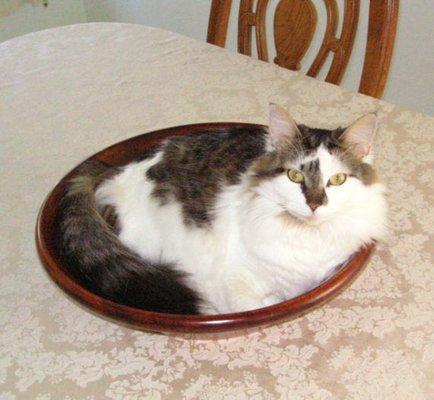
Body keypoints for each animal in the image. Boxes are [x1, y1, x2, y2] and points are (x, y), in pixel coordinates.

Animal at [56, 104, 386, 316]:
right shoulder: (230, 282)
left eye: (338, 179)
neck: (304, 238)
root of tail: (110, 170)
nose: (315, 204)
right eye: (295, 176)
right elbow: (254, 304)